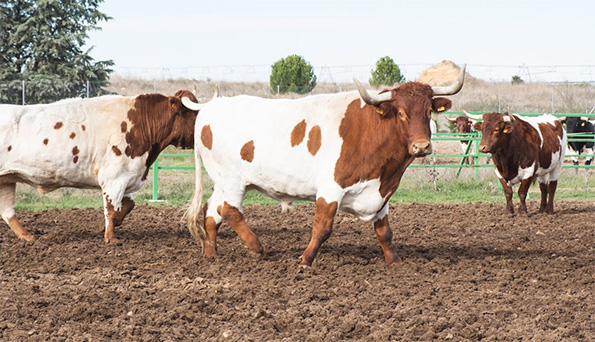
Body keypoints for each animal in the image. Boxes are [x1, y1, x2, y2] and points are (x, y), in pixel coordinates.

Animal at [0, 89, 200, 242]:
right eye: (194, 113)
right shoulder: (114, 178)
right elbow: (111, 209)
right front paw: (111, 238)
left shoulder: (127, 177)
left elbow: (128, 205)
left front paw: (112, 225)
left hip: (6, 180)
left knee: (8, 212)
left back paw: (28, 237)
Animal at [184, 65, 468, 268]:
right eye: (400, 112)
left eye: (428, 111)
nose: (421, 146)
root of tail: (211, 107)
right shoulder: (331, 189)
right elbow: (322, 228)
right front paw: (305, 260)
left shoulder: (380, 193)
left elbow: (385, 232)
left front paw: (394, 261)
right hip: (232, 181)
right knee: (228, 210)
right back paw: (255, 245)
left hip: (222, 183)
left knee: (211, 213)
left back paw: (211, 252)